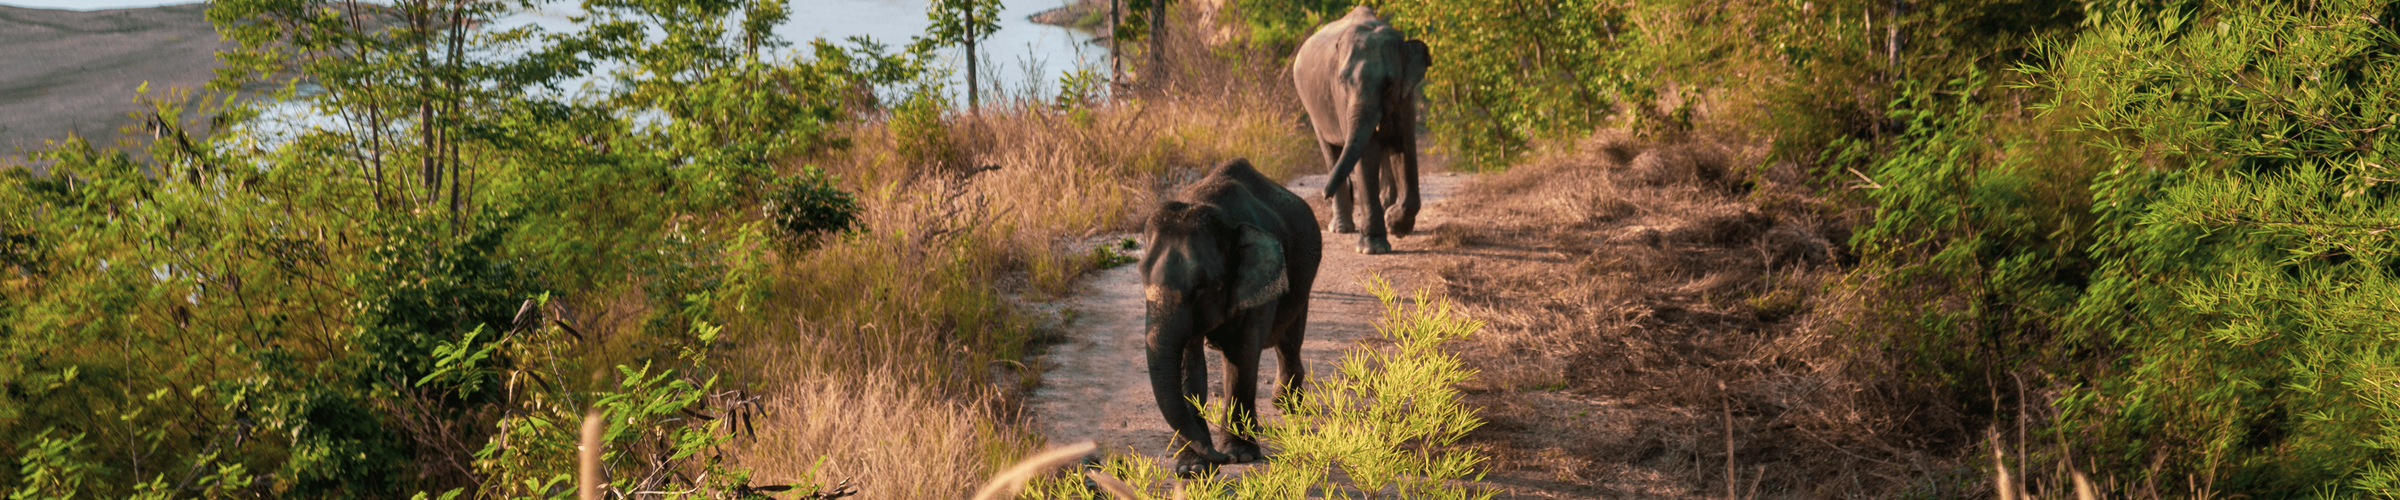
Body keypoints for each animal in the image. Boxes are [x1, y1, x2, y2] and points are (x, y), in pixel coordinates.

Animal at [1138, 158, 1322, 476]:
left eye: (1200, 286)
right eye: (1141, 276)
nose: (1218, 458)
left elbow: (1241, 354)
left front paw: (1240, 455)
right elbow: (1188, 363)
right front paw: (1192, 469)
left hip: (1302, 276)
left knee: (1289, 338)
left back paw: (1285, 405)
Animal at [1292, 6, 1432, 255]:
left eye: (1388, 83)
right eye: (1342, 81)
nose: (1323, 194)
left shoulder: (1406, 96)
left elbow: (1404, 148)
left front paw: (1396, 226)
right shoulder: (1340, 98)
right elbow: (1367, 154)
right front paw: (1373, 249)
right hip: (1312, 108)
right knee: (1330, 152)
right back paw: (1342, 228)